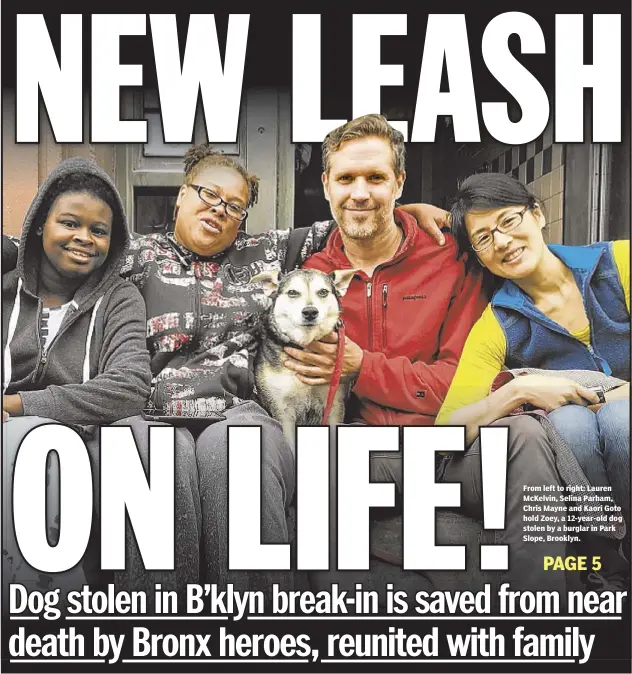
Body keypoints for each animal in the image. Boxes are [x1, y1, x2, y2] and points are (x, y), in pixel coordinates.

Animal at [253, 268, 360, 446]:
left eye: (323, 292)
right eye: (292, 292)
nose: (310, 312)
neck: (305, 344)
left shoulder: (334, 406)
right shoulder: (282, 410)